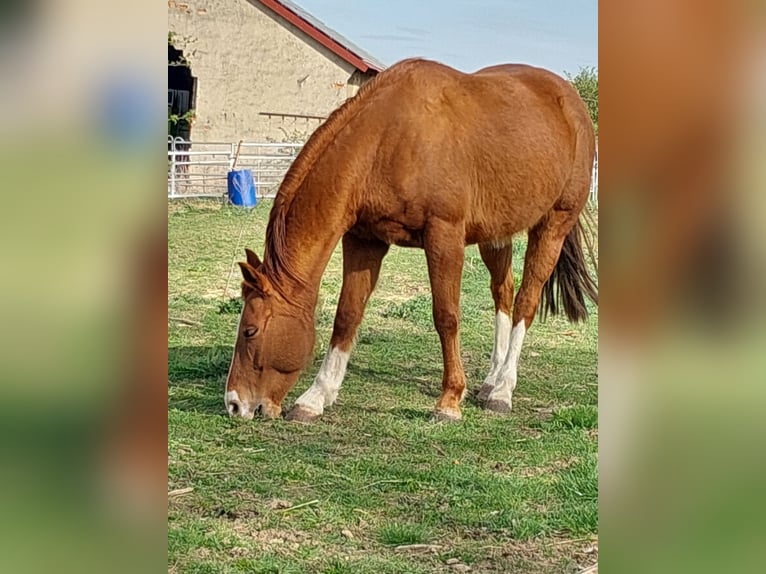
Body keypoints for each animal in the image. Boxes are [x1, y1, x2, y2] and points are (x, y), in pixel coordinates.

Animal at [225, 58, 597, 422]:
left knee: (526, 301)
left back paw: (503, 390)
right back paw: (491, 381)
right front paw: (316, 397)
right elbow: (347, 315)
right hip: (496, 234)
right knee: (503, 293)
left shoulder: (444, 237)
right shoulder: (364, 240)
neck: (385, 140)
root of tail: (572, 102)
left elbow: (446, 316)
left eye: (250, 331)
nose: (234, 404)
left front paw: (449, 401)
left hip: (553, 226)